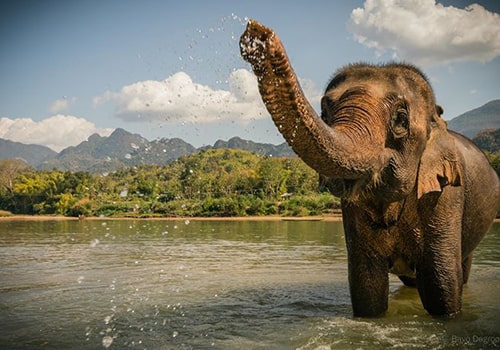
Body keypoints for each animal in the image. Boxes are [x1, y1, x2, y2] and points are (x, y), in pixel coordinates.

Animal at [239, 20, 500, 318]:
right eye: (325, 113)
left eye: (400, 118)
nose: (256, 33)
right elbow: (366, 283)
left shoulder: (445, 194)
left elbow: (441, 282)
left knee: (461, 270)